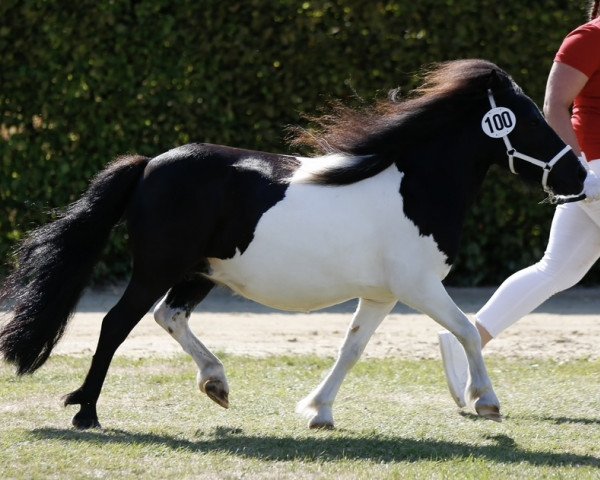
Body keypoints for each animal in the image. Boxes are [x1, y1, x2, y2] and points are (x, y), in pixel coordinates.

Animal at [0, 58, 584, 430]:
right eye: (530, 120)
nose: (578, 176)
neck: (416, 186)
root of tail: (148, 166)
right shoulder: (419, 286)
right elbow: (465, 328)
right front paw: (486, 402)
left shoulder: (382, 295)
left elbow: (352, 348)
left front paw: (318, 412)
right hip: (156, 269)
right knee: (115, 324)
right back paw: (87, 413)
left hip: (198, 272)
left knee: (169, 317)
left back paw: (216, 384)